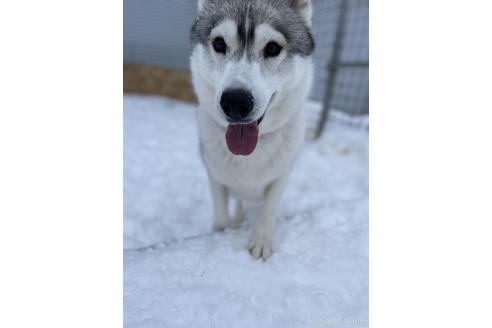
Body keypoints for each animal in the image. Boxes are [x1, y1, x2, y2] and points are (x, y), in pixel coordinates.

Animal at [190, 0, 314, 262]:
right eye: (219, 44)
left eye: (273, 48)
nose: (235, 102)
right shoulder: (214, 175)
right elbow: (221, 210)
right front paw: (221, 232)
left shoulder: (281, 175)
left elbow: (269, 208)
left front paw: (261, 242)